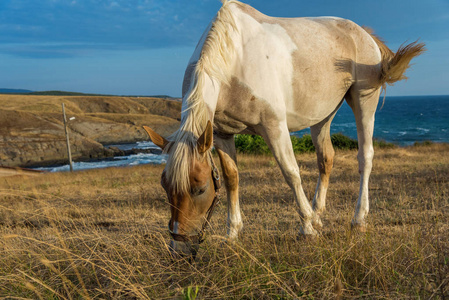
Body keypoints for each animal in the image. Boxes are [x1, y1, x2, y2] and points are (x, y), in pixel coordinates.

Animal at [144, 0, 424, 255]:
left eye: (200, 189)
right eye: (165, 187)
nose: (179, 250)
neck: (234, 60)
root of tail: (362, 33)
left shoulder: (274, 128)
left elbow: (291, 172)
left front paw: (307, 229)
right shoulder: (222, 134)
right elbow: (232, 178)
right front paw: (233, 234)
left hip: (364, 99)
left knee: (365, 157)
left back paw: (357, 220)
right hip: (322, 116)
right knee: (326, 159)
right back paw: (318, 215)